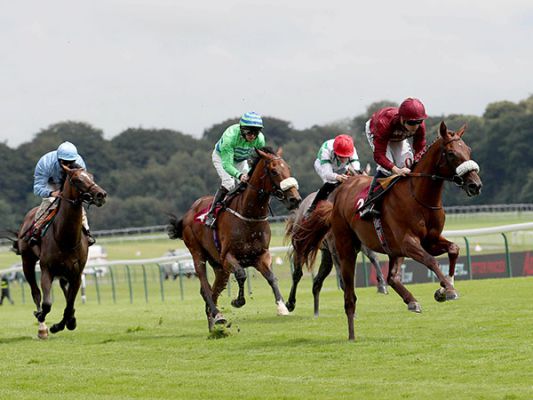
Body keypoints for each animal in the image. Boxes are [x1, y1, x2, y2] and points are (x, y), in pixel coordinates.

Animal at [12, 164, 107, 338]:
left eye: (91, 176)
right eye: (77, 180)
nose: (101, 194)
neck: (65, 238)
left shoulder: (76, 273)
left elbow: (69, 304)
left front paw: (64, 323)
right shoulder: (46, 269)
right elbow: (47, 303)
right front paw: (42, 317)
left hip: (64, 271)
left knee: (65, 290)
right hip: (27, 261)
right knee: (35, 292)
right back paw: (42, 328)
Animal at [167, 147, 301, 332]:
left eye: (288, 168)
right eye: (274, 171)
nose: (295, 199)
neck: (248, 216)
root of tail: (189, 212)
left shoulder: (261, 255)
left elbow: (271, 277)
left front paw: (282, 306)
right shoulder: (228, 257)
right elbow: (241, 274)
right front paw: (238, 301)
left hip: (220, 268)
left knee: (212, 290)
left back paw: (213, 323)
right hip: (197, 253)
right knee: (205, 286)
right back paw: (218, 316)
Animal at [290, 121, 482, 340]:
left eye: (468, 150)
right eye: (451, 153)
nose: (475, 185)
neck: (418, 197)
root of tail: (340, 193)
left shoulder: (430, 240)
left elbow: (454, 249)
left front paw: (444, 288)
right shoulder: (408, 242)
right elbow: (431, 261)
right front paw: (448, 290)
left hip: (391, 249)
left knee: (392, 277)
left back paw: (411, 301)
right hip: (345, 247)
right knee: (349, 293)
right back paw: (351, 333)